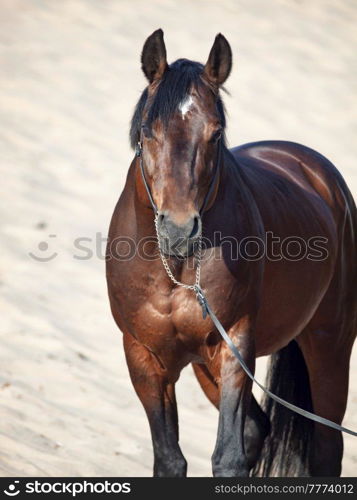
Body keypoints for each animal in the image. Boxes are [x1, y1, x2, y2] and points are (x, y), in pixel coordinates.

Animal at [106, 30, 356, 476]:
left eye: (216, 133)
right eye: (148, 131)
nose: (179, 229)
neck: (176, 270)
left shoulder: (233, 346)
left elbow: (228, 456)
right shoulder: (144, 357)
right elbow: (170, 459)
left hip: (330, 349)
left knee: (326, 449)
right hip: (204, 367)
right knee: (258, 428)